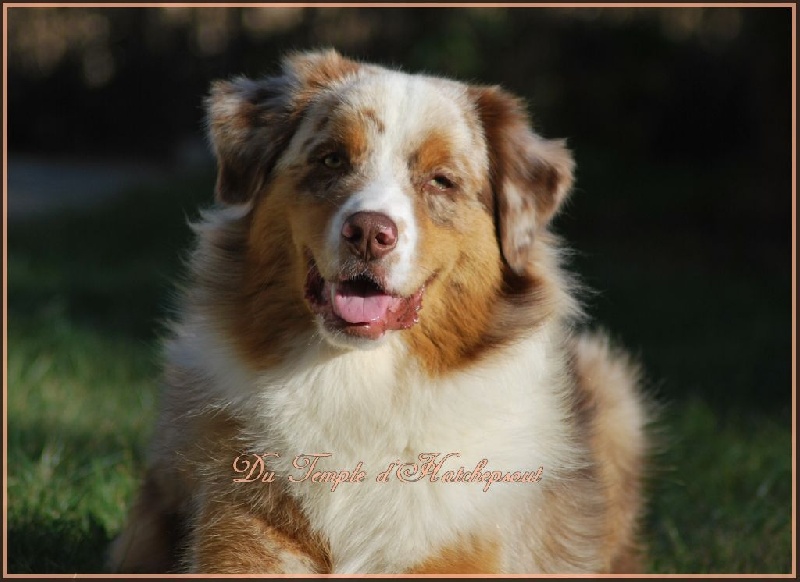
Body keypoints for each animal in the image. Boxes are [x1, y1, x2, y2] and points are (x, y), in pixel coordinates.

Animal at [108, 49, 648, 576]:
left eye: (441, 181)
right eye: (331, 159)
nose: (369, 232)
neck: (356, 380)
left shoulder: (461, 551)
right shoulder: (239, 535)